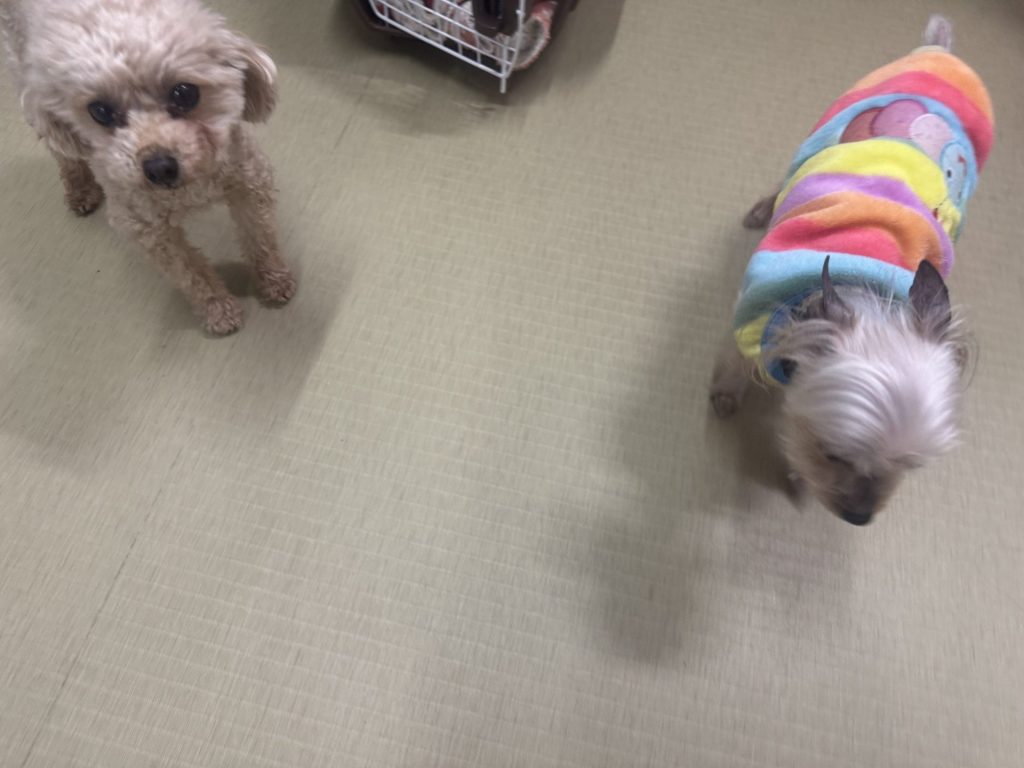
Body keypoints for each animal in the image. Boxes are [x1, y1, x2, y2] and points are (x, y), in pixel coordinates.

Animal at [0, 0, 295, 334]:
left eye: (184, 93)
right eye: (100, 111)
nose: (159, 167)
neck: (189, 189)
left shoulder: (247, 181)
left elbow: (261, 239)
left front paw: (274, 280)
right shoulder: (148, 229)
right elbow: (191, 274)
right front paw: (218, 309)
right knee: (63, 154)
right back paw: (80, 188)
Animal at [710, 15, 992, 526]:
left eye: (908, 466)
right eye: (831, 453)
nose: (859, 517)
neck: (864, 294)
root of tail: (940, 51)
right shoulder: (751, 317)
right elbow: (734, 365)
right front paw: (724, 395)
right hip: (829, 123)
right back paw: (764, 207)